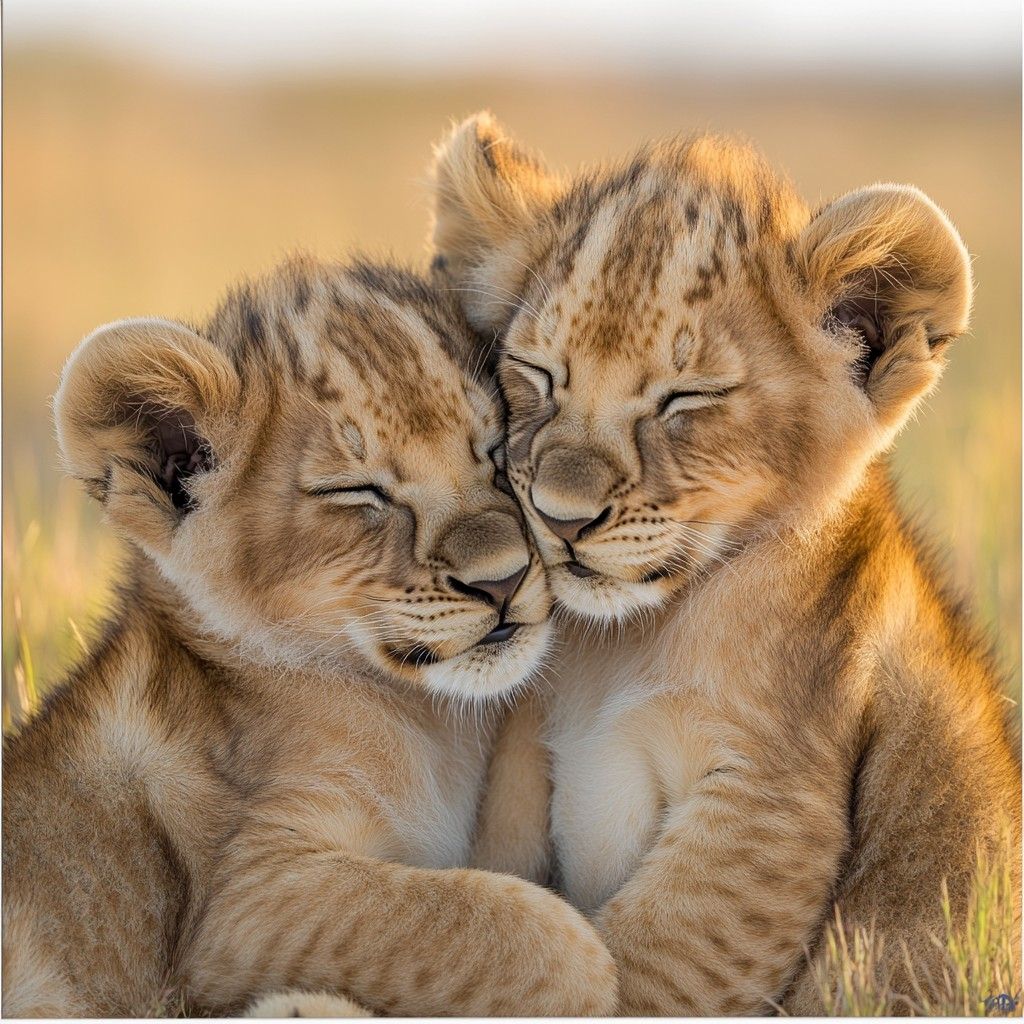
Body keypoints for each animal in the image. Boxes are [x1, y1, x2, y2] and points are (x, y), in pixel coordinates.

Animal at [1, 254, 617, 1017]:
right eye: (356, 492)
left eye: (496, 450)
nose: (502, 580)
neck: (431, 723)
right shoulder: (242, 904)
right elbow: (509, 929)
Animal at [431, 112, 1021, 1014]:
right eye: (538, 374)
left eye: (687, 398)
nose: (561, 519)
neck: (621, 645)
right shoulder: (527, 755)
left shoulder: (772, 803)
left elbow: (647, 971)